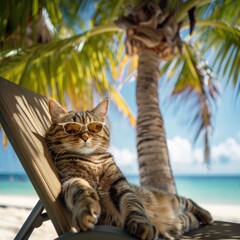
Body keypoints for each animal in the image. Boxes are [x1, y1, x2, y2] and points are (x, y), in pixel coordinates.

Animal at [45, 98, 212, 239]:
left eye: (95, 127)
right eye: (71, 128)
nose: (85, 136)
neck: (91, 160)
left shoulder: (119, 183)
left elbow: (132, 203)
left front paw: (141, 223)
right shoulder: (71, 180)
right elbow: (83, 192)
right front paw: (86, 211)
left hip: (174, 200)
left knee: (189, 201)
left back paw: (205, 214)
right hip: (177, 224)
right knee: (189, 216)